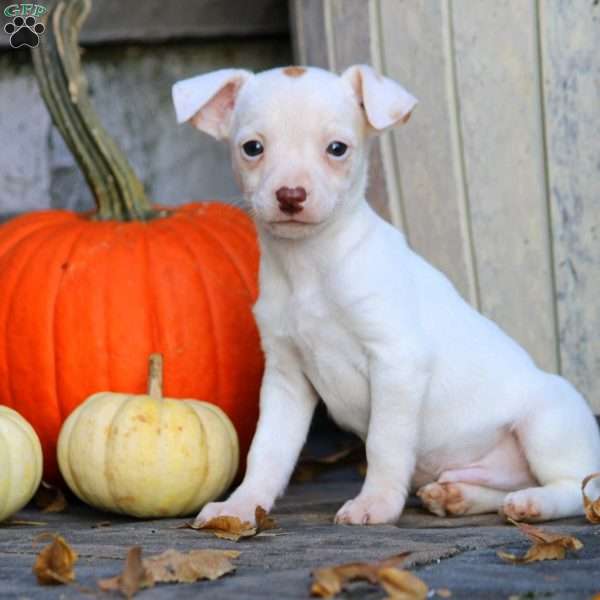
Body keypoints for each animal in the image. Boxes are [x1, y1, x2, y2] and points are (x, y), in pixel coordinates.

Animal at [171, 65, 596, 524]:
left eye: (337, 148)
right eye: (252, 148)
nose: (290, 196)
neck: (310, 267)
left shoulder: (397, 360)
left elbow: (383, 443)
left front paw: (374, 503)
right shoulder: (286, 377)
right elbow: (268, 450)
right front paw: (242, 506)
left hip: (547, 426)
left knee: (579, 489)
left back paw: (534, 503)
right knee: (500, 489)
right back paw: (459, 496)